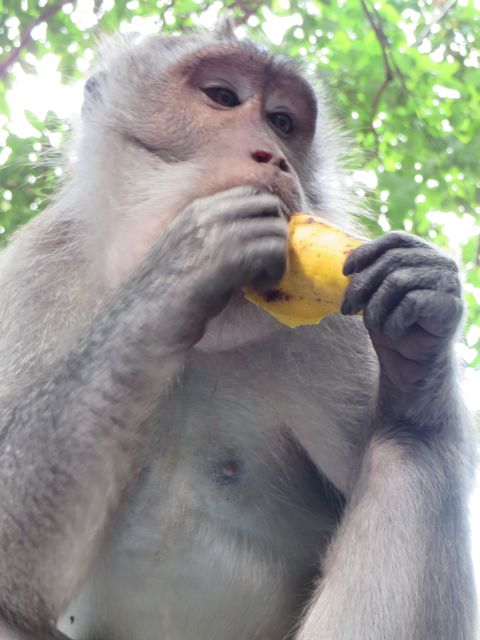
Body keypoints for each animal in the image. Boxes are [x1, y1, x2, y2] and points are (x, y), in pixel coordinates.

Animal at [0, 20, 476, 640]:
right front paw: (185, 263)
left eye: (283, 122)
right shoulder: (37, 274)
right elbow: (16, 570)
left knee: (414, 454)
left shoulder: (334, 329)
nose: (273, 156)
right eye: (223, 97)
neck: (207, 333)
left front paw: (419, 333)